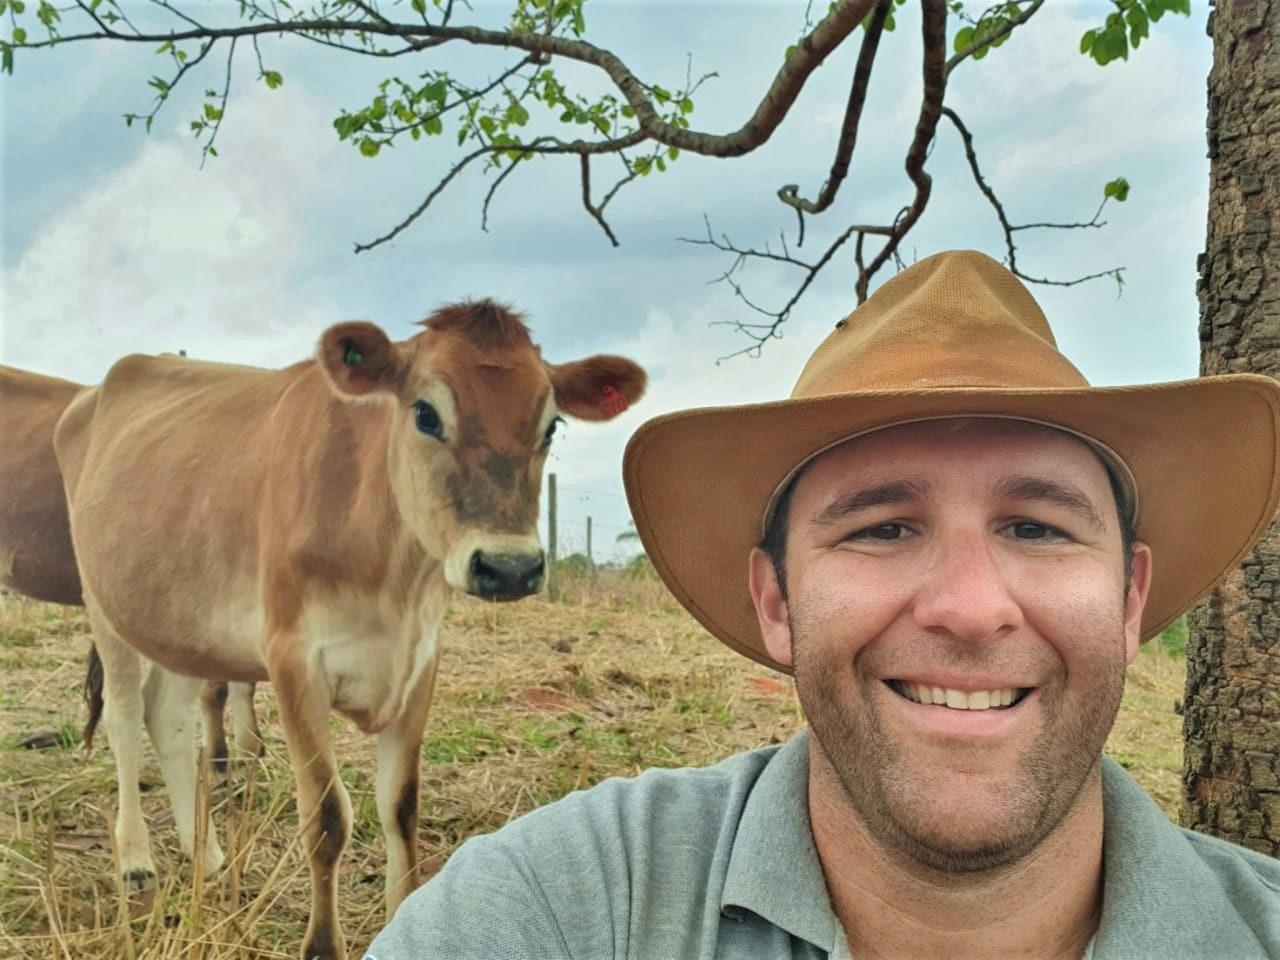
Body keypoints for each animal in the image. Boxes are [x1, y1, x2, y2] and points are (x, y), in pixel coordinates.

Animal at [53, 302, 645, 960]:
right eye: (425, 412)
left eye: (551, 427)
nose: (509, 566)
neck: (391, 578)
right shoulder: (293, 661)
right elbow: (328, 818)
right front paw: (321, 944)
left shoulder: (421, 660)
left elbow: (401, 806)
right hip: (104, 602)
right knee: (125, 718)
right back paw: (136, 861)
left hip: (178, 622)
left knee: (170, 720)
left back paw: (206, 857)